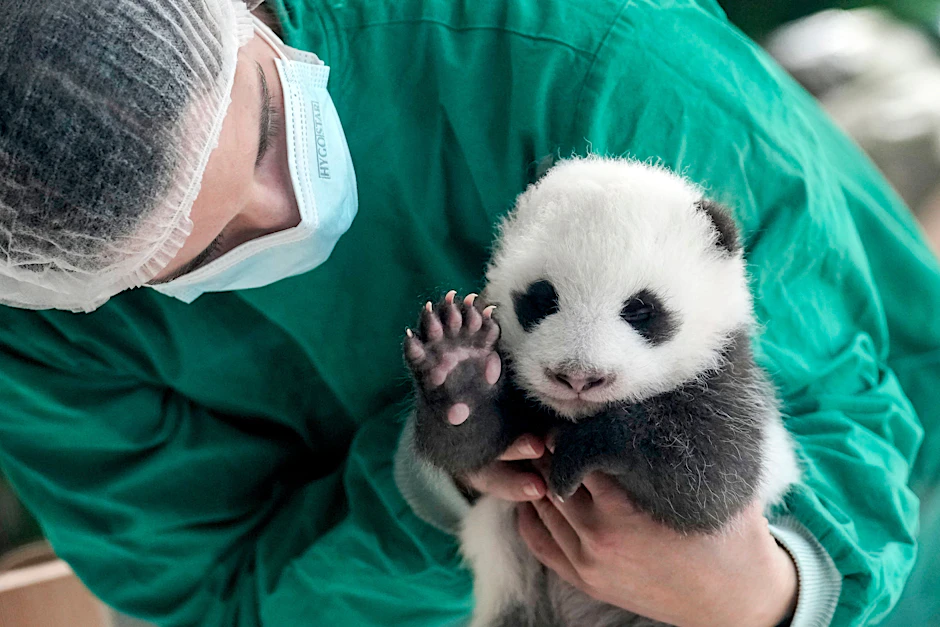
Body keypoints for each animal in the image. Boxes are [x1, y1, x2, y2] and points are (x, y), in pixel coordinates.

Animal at [402, 156, 801, 627]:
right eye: (542, 298)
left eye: (641, 309)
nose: (576, 378)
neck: (572, 414)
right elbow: (472, 446)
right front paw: (459, 369)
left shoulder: (730, 378)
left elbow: (710, 481)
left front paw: (587, 447)